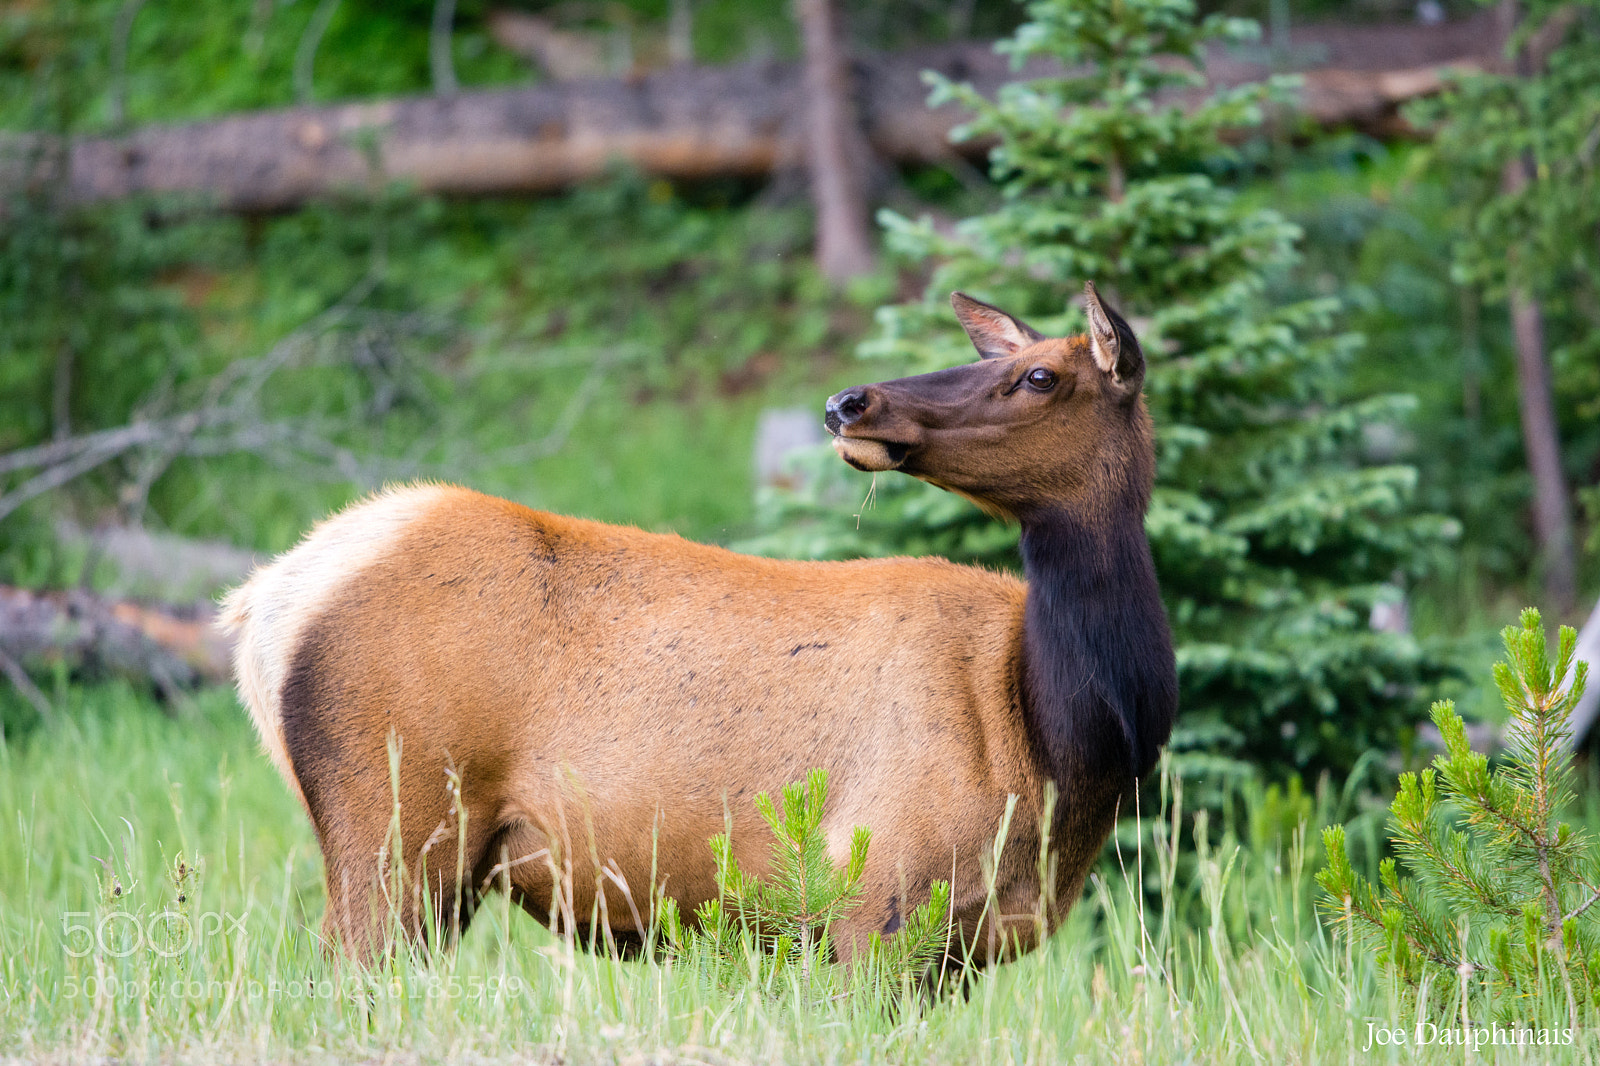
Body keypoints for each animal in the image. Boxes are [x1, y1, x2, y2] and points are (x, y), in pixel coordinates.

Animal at [220, 282, 1177, 966]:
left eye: (1041, 375)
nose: (850, 402)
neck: (1066, 742)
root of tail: (267, 601)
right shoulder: (878, 903)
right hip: (393, 822)